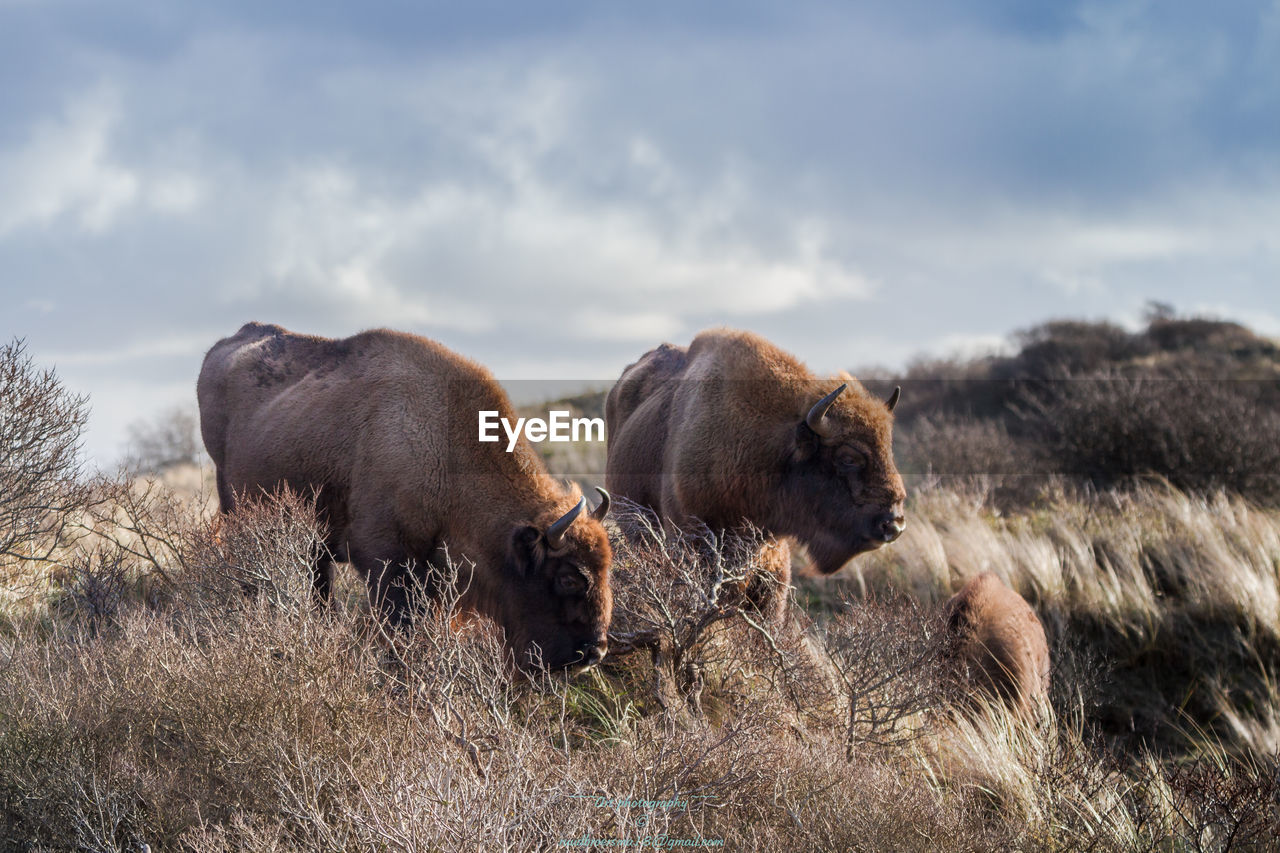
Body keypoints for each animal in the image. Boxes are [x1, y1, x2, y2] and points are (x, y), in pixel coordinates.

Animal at [197, 320, 611, 671]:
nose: (594, 652)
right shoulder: (386, 563)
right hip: (236, 511)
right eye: (569, 578)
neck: (446, 452)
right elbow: (400, 628)